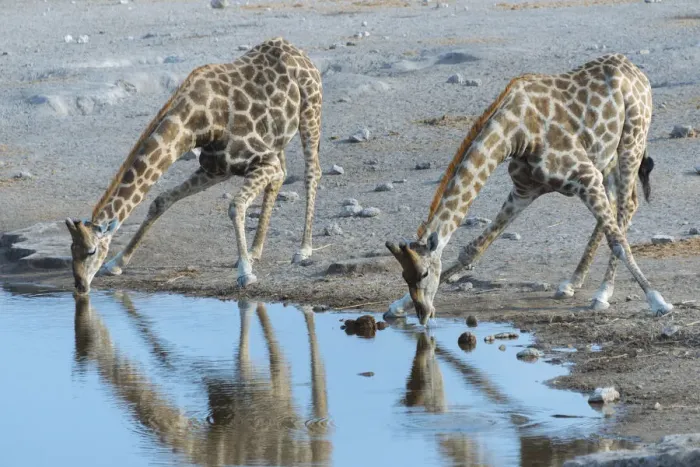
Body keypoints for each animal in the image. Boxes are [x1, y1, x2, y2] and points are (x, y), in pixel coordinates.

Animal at [65, 37, 323, 294]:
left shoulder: (263, 161)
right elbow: (161, 200)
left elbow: (236, 205)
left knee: (312, 172)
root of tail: (297, 51)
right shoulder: (215, 169)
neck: (196, 123)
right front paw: (117, 263)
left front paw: (245, 273)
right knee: (281, 177)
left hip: (310, 112)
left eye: (92, 251)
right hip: (278, 137)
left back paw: (303, 249)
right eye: (71, 251)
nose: (80, 286)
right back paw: (255, 251)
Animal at [385, 53, 673, 326]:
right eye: (404, 276)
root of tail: (634, 69)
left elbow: (619, 242)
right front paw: (396, 307)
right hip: (606, 155)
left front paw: (658, 301)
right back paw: (572, 282)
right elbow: (473, 250)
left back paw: (603, 292)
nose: (423, 313)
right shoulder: (524, 191)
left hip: (632, 141)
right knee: (615, 206)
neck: (516, 133)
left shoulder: (586, 176)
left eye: (424, 273)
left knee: (627, 206)